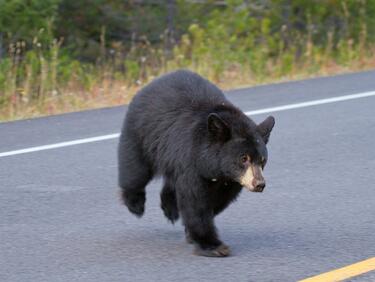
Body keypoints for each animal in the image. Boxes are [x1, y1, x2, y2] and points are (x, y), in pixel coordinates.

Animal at [118, 69, 276, 256]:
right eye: (243, 158)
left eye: (263, 160)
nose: (259, 184)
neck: (213, 166)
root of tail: (151, 83)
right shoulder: (190, 161)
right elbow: (195, 201)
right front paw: (213, 245)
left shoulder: (230, 180)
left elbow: (218, 200)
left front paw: (191, 233)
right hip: (142, 134)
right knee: (135, 170)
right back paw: (135, 203)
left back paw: (170, 207)